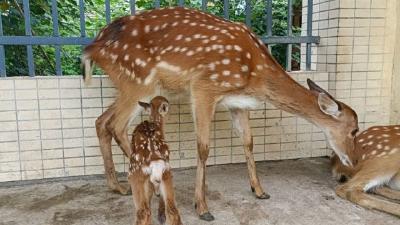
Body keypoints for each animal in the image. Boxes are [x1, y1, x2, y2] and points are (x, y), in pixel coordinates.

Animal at [128, 96, 183, 225]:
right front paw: (161, 216)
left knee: (143, 212)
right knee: (173, 210)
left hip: (135, 173)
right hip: (167, 172)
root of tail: (155, 159)